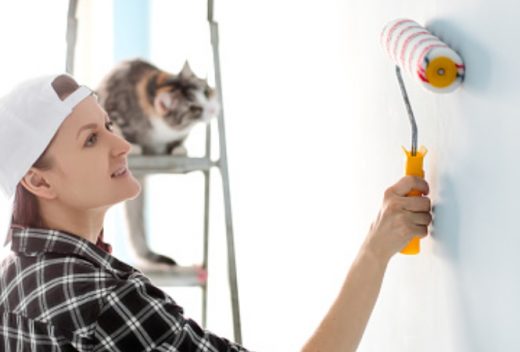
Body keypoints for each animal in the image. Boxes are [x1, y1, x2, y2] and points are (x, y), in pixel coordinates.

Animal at [96, 59, 219, 268]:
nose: (213, 109)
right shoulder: (111, 108)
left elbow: (177, 141)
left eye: (206, 92)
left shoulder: (178, 135)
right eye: (194, 109)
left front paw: (178, 149)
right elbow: (118, 130)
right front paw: (133, 146)